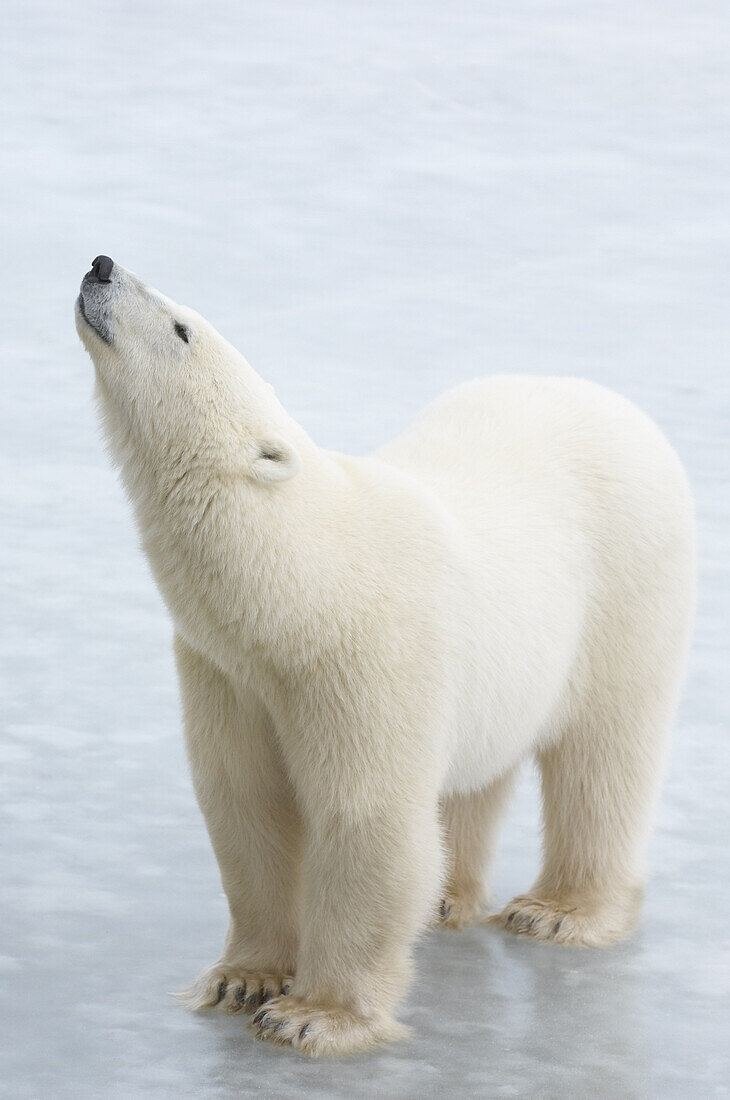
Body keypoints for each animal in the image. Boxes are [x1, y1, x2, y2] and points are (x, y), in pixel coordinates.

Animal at [75, 253, 694, 1051]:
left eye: (183, 328)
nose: (102, 265)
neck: (303, 588)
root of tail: (619, 405)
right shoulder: (229, 673)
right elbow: (245, 803)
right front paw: (242, 978)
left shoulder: (365, 655)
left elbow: (367, 819)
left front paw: (314, 1015)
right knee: (476, 774)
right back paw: (449, 901)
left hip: (628, 587)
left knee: (605, 753)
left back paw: (560, 911)